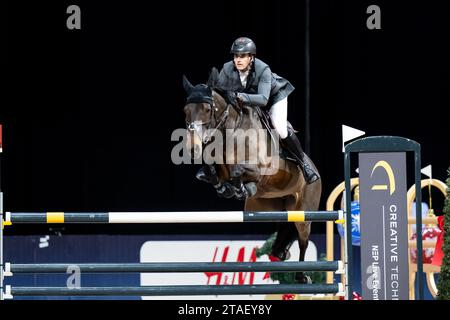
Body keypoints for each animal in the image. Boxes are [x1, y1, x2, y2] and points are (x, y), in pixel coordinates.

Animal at [181, 69, 322, 282]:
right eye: (185, 110)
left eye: (206, 109)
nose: (192, 149)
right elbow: (209, 174)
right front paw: (225, 188)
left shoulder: (261, 170)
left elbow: (239, 171)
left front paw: (241, 188)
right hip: (277, 209)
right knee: (284, 230)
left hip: (304, 211)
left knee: (303, 239)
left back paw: (301, 276)